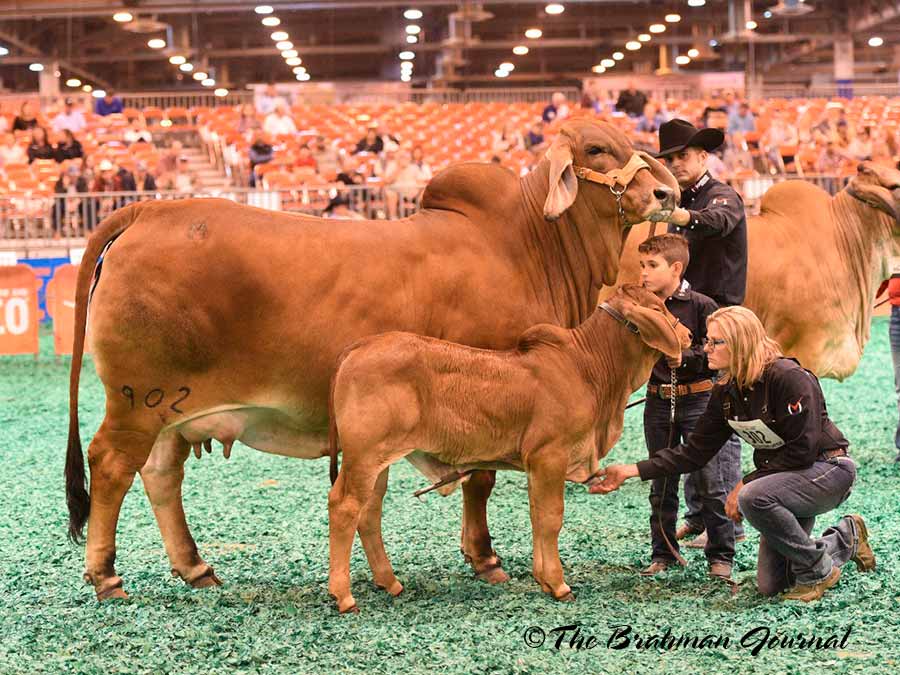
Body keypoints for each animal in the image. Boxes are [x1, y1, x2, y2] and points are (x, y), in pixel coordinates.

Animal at [325, 284, 692, 613]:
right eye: (658, 308)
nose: (688, 334)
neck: (586, 368)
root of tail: (359, 347)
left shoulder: (537, 465)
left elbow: (536, 516)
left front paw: (543, 579)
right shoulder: (549, 456)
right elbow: (550, 517)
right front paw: (558, 584)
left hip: (378, 463)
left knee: (369, 512)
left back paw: (390, 581)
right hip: (363, 458)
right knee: (344, 507)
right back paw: (344, 596)